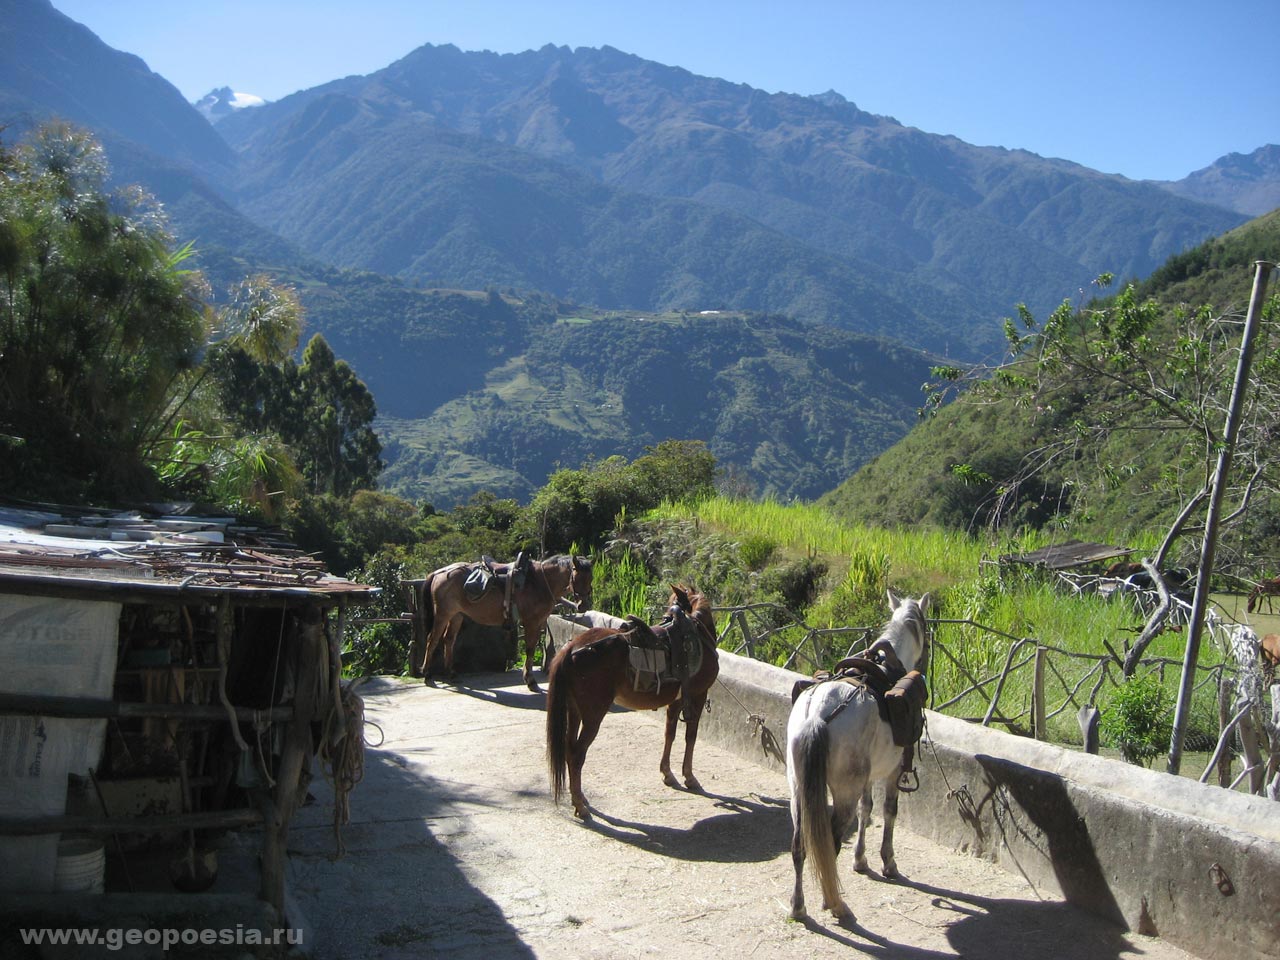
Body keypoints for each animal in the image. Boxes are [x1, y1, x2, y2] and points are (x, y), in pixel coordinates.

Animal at [414, 555, 593, 691]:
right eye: (576, 578)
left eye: (590, 579)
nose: (583, 605)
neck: (539, 582)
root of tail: (438, 573)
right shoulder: (532, 623)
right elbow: (529, 650)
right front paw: (530, 680)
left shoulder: (539, 622)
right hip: (443, 614)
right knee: (432, 640)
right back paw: (428, 674)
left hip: (456, 615)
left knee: (448, 640)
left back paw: (450, 673)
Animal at [545, 583, 716, 824]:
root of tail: (571, 650)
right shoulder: (698, 695)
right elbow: (690, 737)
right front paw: (689, 777)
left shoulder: (676, 701)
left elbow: (670, 734)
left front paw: (668, 773)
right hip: (593, 715)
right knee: (577, 755)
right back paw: (581, 806)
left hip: (574, 710)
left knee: (569, 751)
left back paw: (579, 798)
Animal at [778, 591, 931, 926]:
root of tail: (818, 716)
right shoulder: (892, 771)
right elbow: (888, 811)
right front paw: (888, 862)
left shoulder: (867, 777)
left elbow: (867, 808)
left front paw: (860, 859)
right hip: (843, 792)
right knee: (830, 843)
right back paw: (834, 904)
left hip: (798, 789)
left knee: (799, 846)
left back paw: (798, 907)